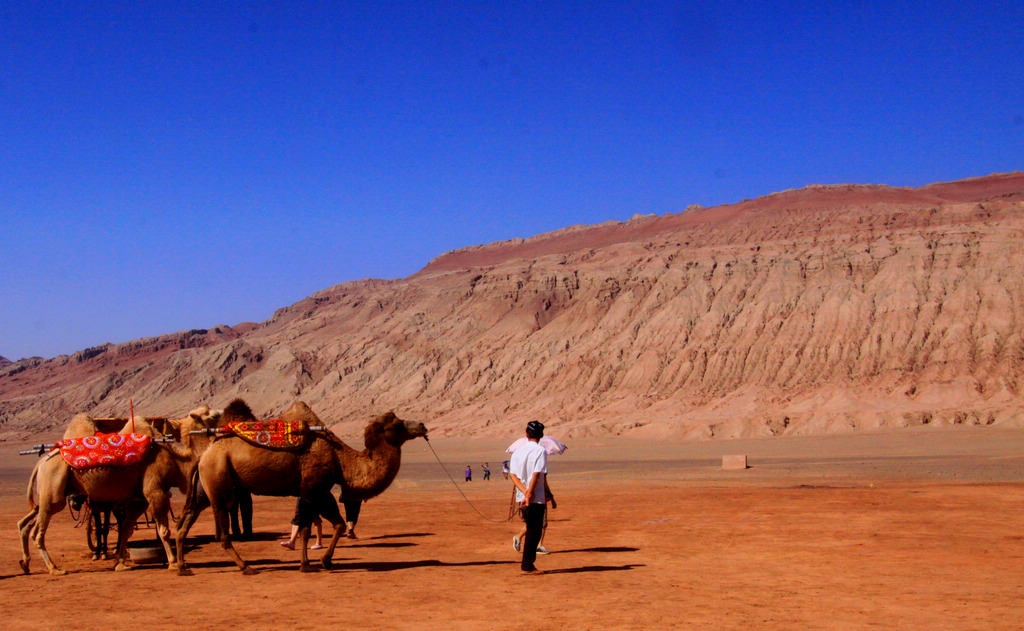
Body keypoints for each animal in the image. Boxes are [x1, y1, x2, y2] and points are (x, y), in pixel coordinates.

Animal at [18, 407, 222, 573]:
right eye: (211, 415)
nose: (222, 412)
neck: (177, 460)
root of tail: (40, 462)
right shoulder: (155, 490)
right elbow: (164, 530)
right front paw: (173, 563)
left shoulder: (138, 500)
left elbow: (126, 530)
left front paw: (120, 563)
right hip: (53, 488)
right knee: (38, 531)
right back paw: (54, 568)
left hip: (48, 493)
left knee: (26, 522)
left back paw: (26, 563)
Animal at [176, 401, 428, 573]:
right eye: (397, 423)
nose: (422, 425)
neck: (340, 459)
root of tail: (204, 455)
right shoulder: (314, 488)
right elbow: (334, 525)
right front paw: (325, 561)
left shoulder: (313, 492)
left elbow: (309, 528)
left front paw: (307, 564)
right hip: (218, 480)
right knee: (222, 532)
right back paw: (246, 567)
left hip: (203, 490)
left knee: (185, 522)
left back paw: (182, 568)